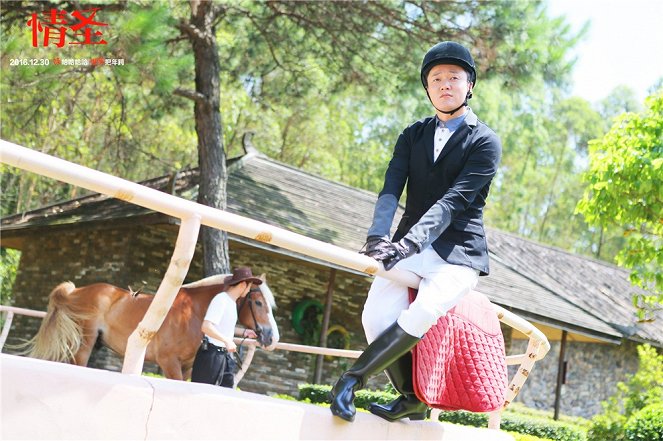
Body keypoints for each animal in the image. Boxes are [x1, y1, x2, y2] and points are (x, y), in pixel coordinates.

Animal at [25, 272, 280, 378]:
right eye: (258, 302)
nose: (272, 338)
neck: (194, 312)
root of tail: (76, 291)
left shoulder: (187, 367)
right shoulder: (169, 363)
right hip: (83, 346)